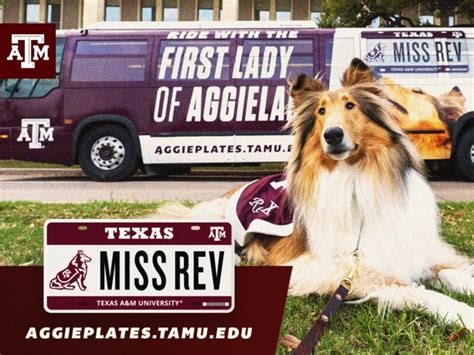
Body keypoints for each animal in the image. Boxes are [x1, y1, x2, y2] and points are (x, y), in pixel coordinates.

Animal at [154, 59, 472, 330]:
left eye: (350, 105)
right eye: (320, 112)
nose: (332, 135)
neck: (357, 178)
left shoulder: (413, 249)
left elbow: (448, 270)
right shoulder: (328, 267)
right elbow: (416, 290)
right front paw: (462, 313)